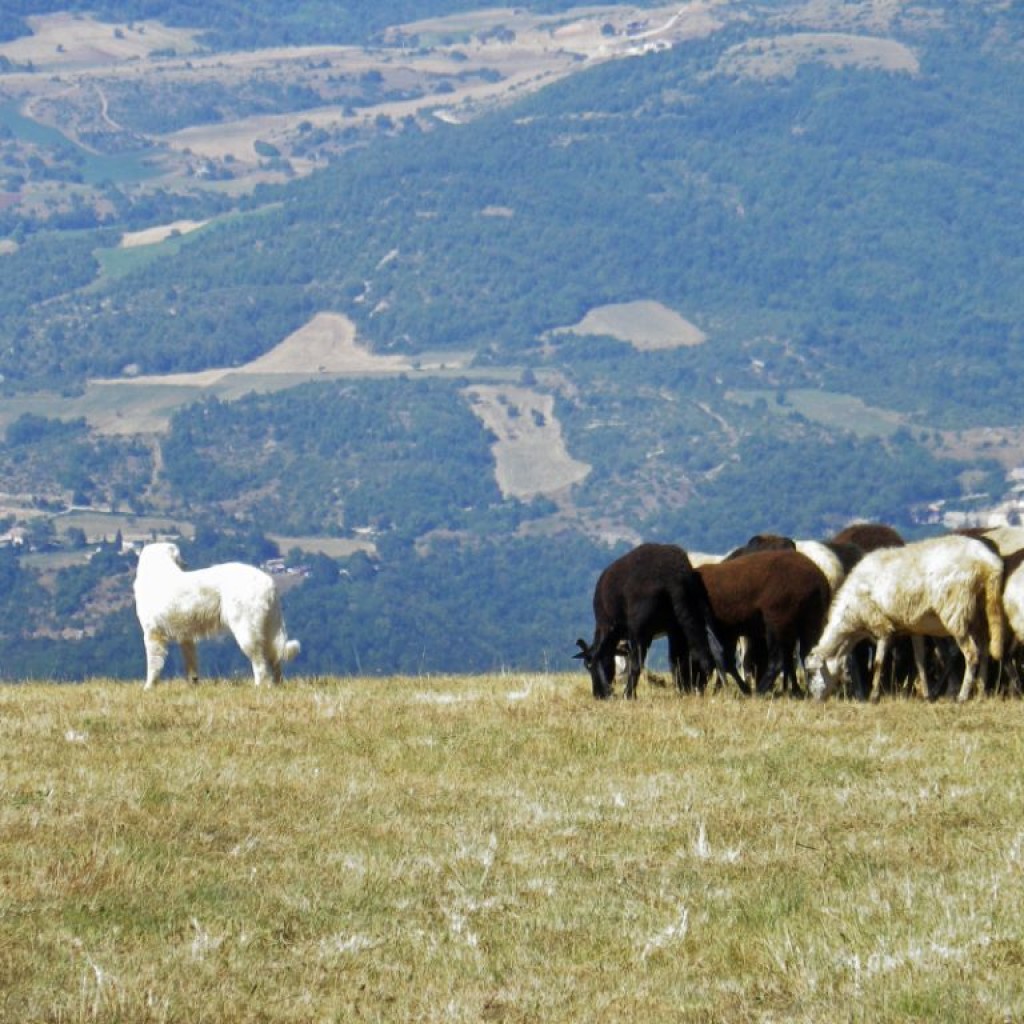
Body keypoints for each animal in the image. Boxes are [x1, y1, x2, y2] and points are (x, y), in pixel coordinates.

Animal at [134, 544, 299, 688]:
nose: (186, 563)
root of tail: (269, 582)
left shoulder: (153, 635)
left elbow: (153, 664)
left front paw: (148, 687)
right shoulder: (185, 636)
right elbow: (191, 663)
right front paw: (193, 684)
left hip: (246, 629)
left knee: (260, 661)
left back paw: (259, 686)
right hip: (268, 628)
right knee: (275, 658)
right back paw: (277, 684)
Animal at [573, 544, 724, 704]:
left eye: (588, 667)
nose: (597, 695)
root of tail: (673, 575)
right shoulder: (672, 630)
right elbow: (677, 660)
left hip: (641, 629)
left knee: (637, 663)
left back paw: (629, 694)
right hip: (687, 620)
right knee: (694, 655)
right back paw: (688, 690)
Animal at [806, 532, 999, 700]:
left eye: (813, 672)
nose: (815, 699)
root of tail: (987, 562)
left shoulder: (881, 626)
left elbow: (878, 662)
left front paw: (874, 696)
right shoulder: (915, 628)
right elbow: (919, 660)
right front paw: (926, 695)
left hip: (957, 611)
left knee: (972, 653)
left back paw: (963, 696)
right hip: (980, 614)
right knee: (984, 650)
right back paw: (981, 692)